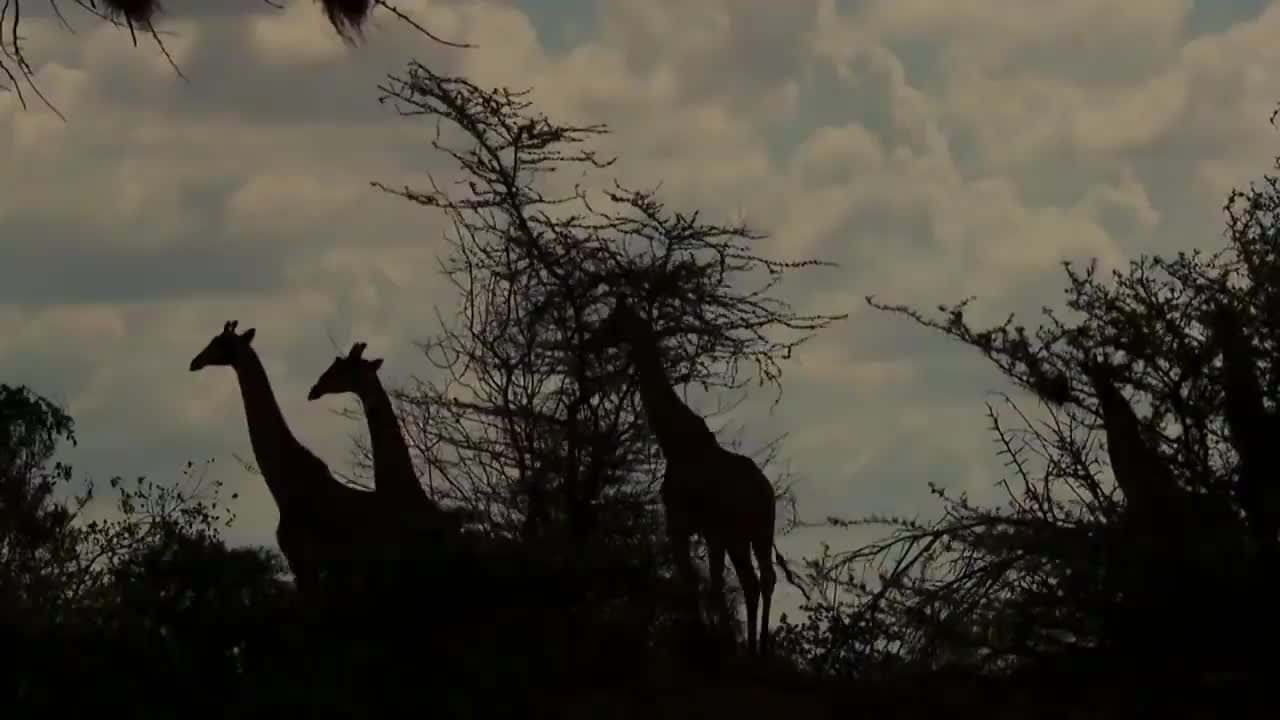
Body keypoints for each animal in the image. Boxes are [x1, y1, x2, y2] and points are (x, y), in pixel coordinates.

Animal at [586, 294, 773, 653]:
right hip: (756, 532)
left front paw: (707, 637)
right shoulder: (706, 530)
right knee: (760, 580)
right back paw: (758, 648)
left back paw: (753, 647)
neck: (673, 441)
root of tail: (767, 492)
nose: (591, 342)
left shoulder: (681, 520)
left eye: (613, 320)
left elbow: (693, 581)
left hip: (740, 532)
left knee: (754, 581)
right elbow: (706, 583)